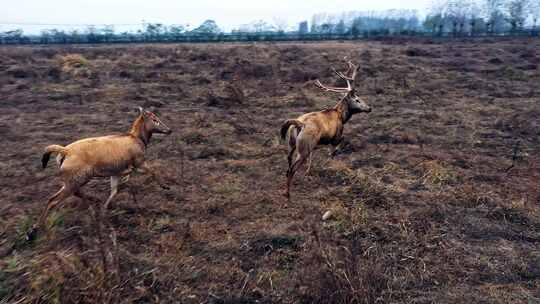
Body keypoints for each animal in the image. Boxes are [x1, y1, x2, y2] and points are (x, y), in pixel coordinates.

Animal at [278, 60, 372, 198]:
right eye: (357, 99)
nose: (369, 108)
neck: (342, 116)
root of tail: (299, 124)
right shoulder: (336, 137)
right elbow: (333, 151)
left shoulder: (315, 145)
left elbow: (313, 157)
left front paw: (308, 171)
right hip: (303, 148)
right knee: (292, 169)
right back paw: (287, 193)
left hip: (292, 143)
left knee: (288, 161)